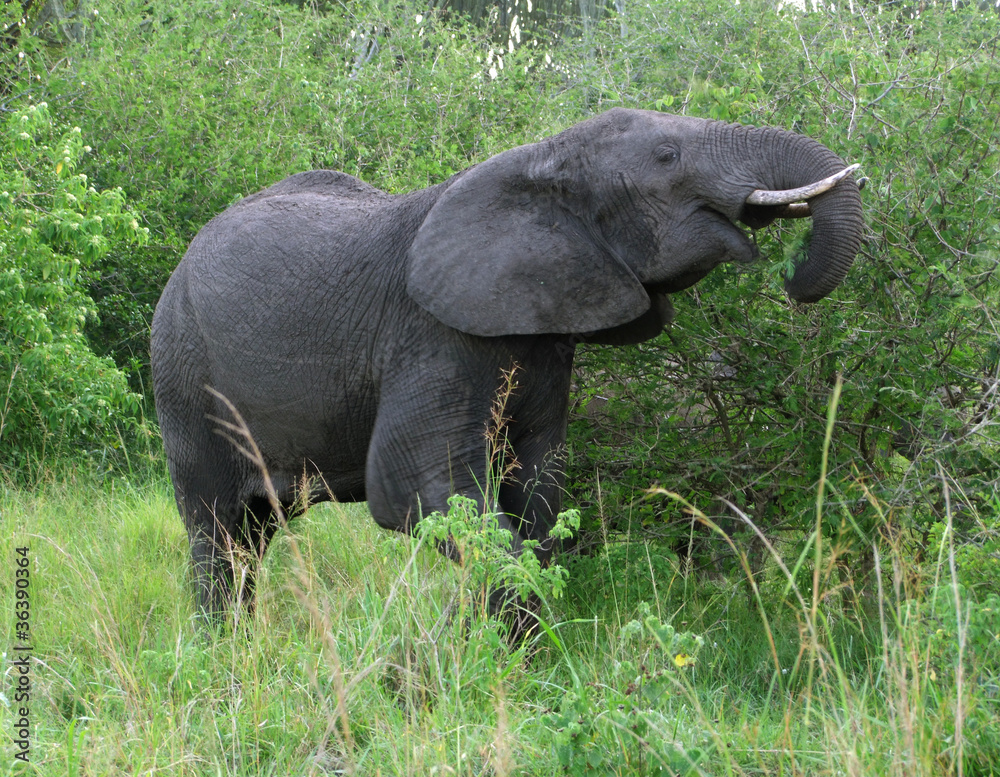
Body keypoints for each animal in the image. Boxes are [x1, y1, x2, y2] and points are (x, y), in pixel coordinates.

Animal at [151, 108, 864, 633]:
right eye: (667, 157)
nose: (792, 276)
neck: (539, 158)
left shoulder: (544, 336)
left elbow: (538, 490)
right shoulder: (431, 335)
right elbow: (414, 485)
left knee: (252, 536)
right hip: (184, 375)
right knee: (220, 534)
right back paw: (225, 659)